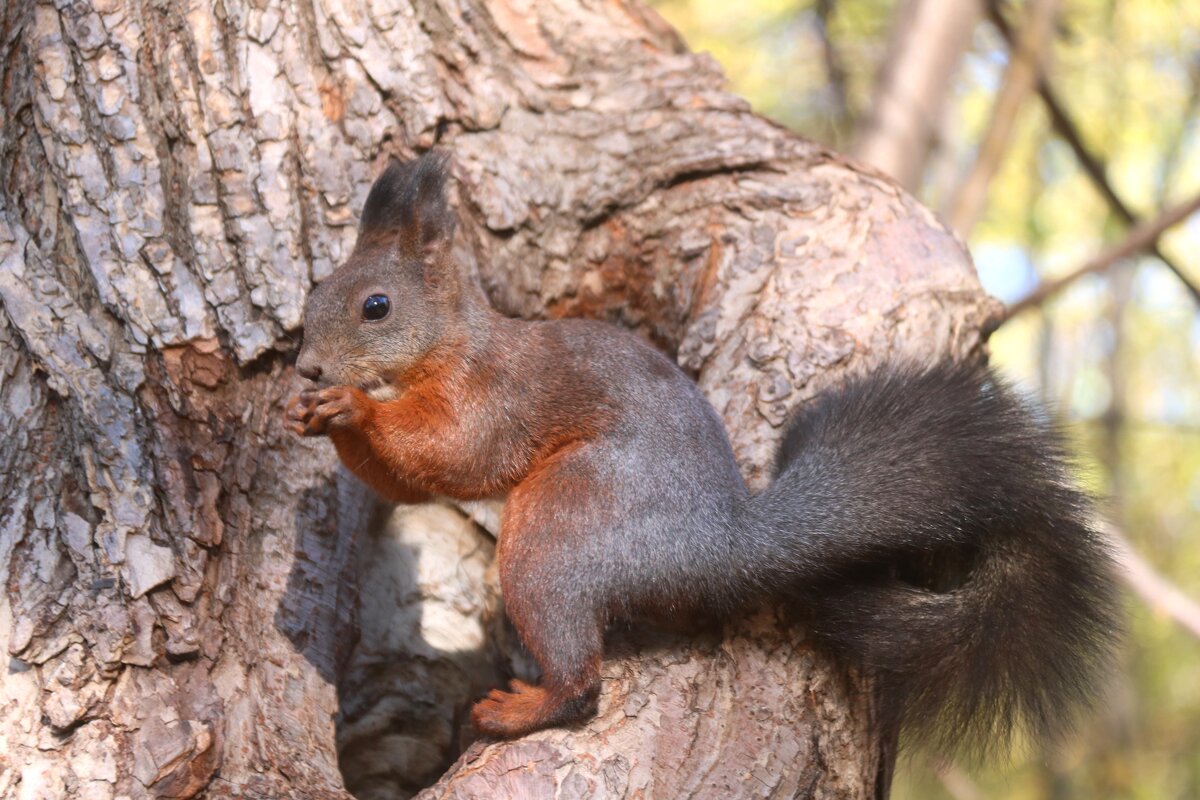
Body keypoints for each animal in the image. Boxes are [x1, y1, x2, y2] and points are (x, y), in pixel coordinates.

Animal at [285, 151, 1118, 758]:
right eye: (313, 296)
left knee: (581, 683)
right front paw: (313, 419)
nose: (308, 369)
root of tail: (714, 547)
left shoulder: (495, 396)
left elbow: (452, 454)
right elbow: (409, 483)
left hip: (560, 527)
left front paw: (353, 409)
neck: (450, 348)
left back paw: (515, 710)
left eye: (376, 307)